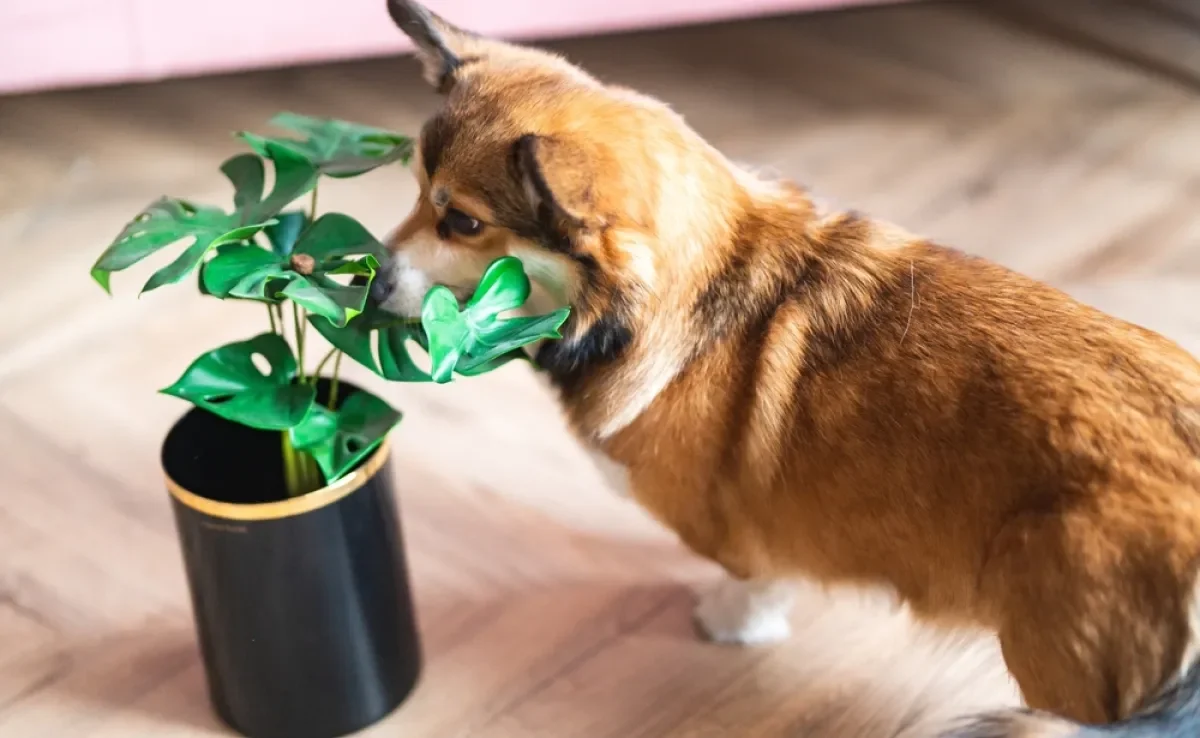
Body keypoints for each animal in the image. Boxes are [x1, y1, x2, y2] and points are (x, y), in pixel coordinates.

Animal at [369, 2, 1200, 734]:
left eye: (463, 221)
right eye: (413, 193)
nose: (368, 286)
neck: (691, 284)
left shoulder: (742, 534)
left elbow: (753, 578)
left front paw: (729, 623)